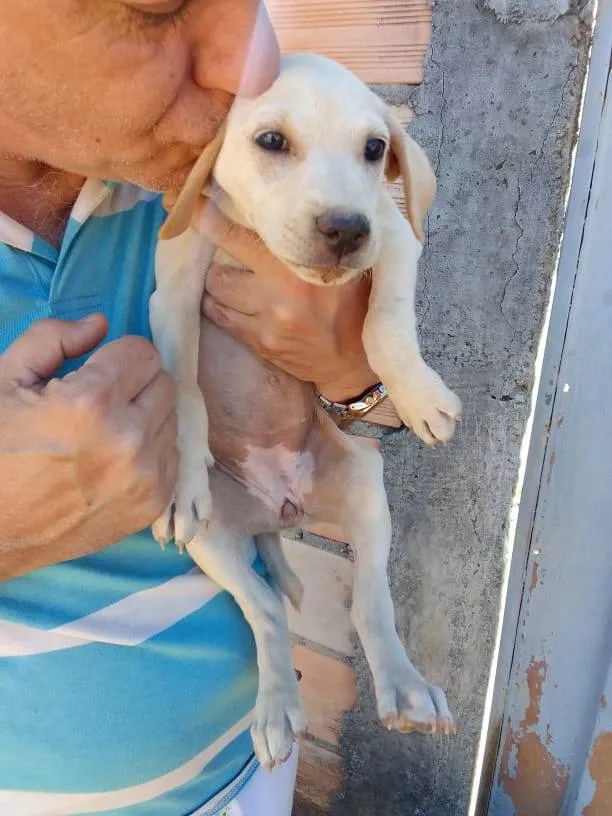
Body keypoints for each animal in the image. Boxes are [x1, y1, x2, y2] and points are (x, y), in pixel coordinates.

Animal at [151, 54, 462, 768]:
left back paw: (406, 692)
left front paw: (419, 396)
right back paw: (275, 708)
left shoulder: (394, 234)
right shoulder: (172, 289)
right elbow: (181, 388)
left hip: (363, 481)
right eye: (271, 141)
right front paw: (182, 474)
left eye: (374, 149)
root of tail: (280, 510)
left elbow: (386, 323)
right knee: (264, 608)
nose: (347, 228)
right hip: (214, 539)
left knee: (370, 604)